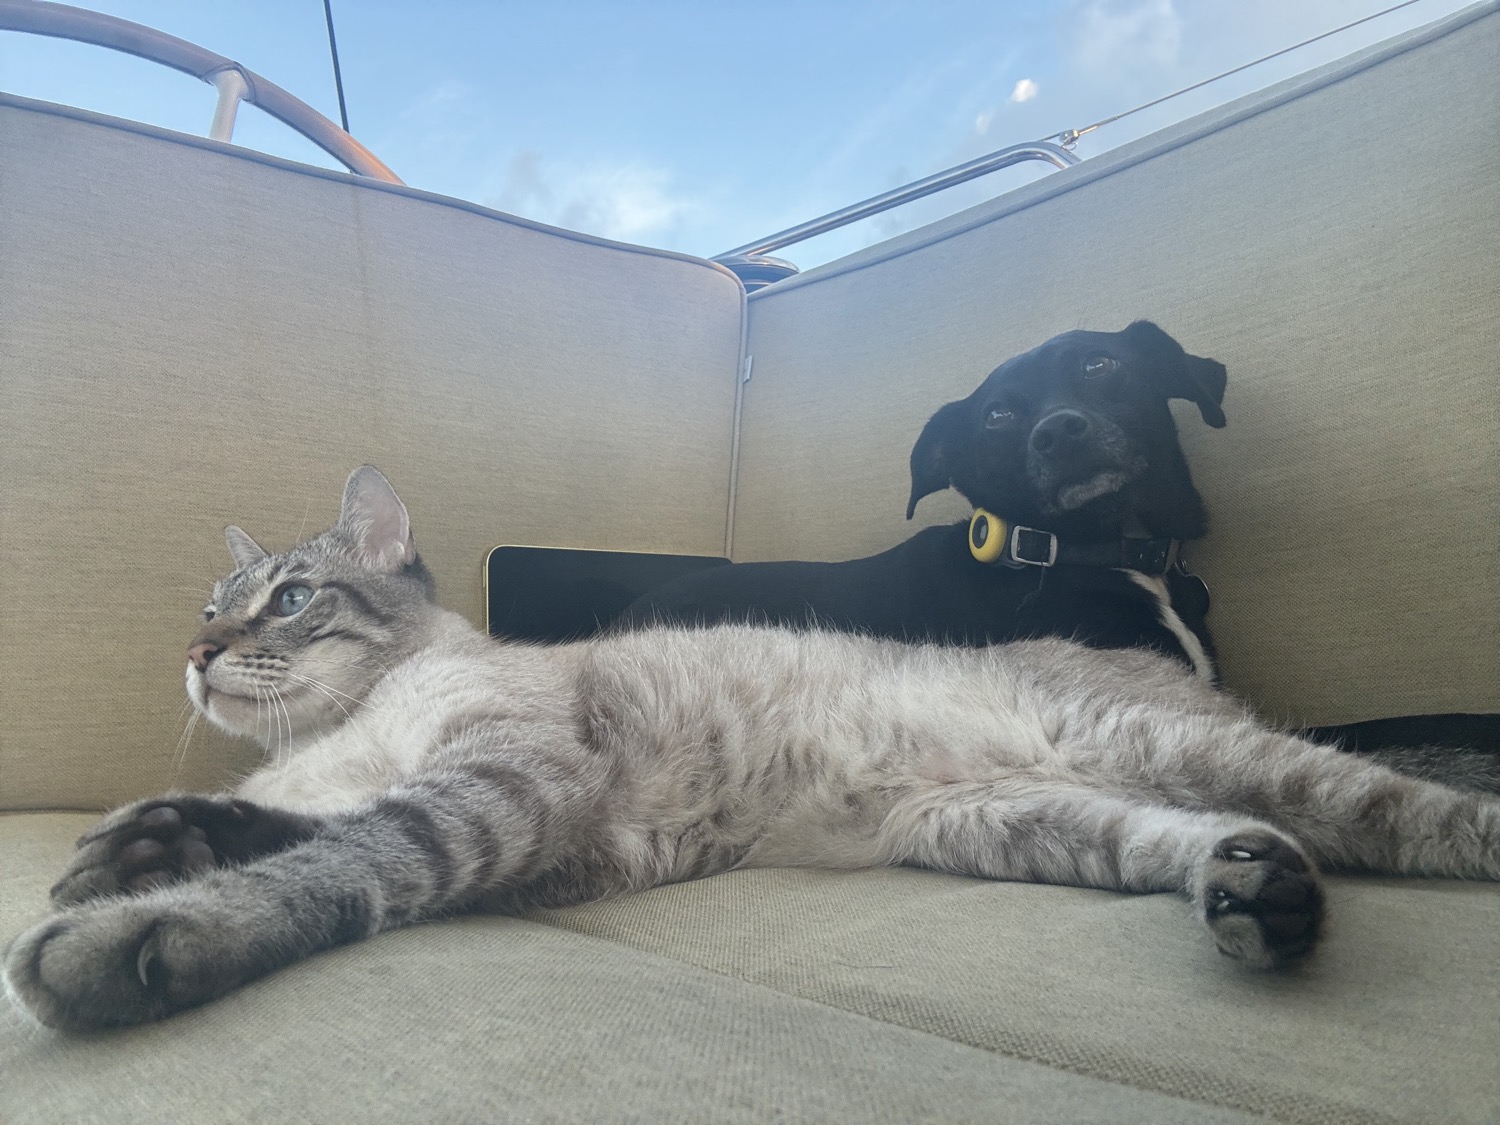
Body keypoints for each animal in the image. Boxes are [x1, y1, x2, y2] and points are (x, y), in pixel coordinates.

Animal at [6, 466, 1499, 1031]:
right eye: (210, 605)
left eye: (286, 600)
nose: (197, 652)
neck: (336, 731)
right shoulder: (515, 832)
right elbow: (280, 826)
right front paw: (144, 847)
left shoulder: (508, 792)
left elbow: (345, 861)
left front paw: (133, 938)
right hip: (1029, 824)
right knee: (1207, 843)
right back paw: (1259, 896)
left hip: (1206, 758)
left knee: (1409, 810)